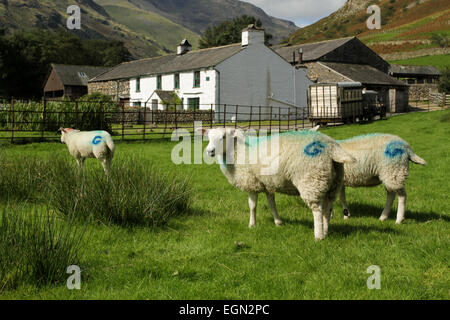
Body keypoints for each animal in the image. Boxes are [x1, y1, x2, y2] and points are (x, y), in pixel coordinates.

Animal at [199, 127, 356, 240]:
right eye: (209, 137)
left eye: (223, 137)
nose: (209, 151)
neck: (238, 151)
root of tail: (331, 148)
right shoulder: (268, 184)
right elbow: (271, 204)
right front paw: (278, 222)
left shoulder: (251, 183)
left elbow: (252, 206)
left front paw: (252, 224)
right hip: (332, 183)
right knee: (327, 208)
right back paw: (325, 232)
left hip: (311, 180)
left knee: (317, 210)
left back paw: (318, 236)